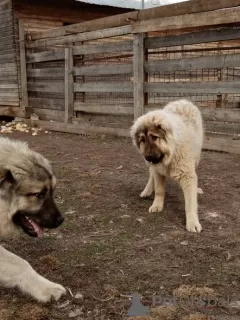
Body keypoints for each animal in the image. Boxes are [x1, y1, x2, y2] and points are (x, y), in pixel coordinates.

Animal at [130, 99, 203, 232]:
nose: (147, 157)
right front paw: (157, 205)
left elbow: (190, 202)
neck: (170, 155)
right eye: (142, 139)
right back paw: (147, 190)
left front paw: (192, 222)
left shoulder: (187, 174)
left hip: (196, 156)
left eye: (154, 137)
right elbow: (159, 190)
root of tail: (183, 101)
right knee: (151, 176)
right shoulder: (157, 170)